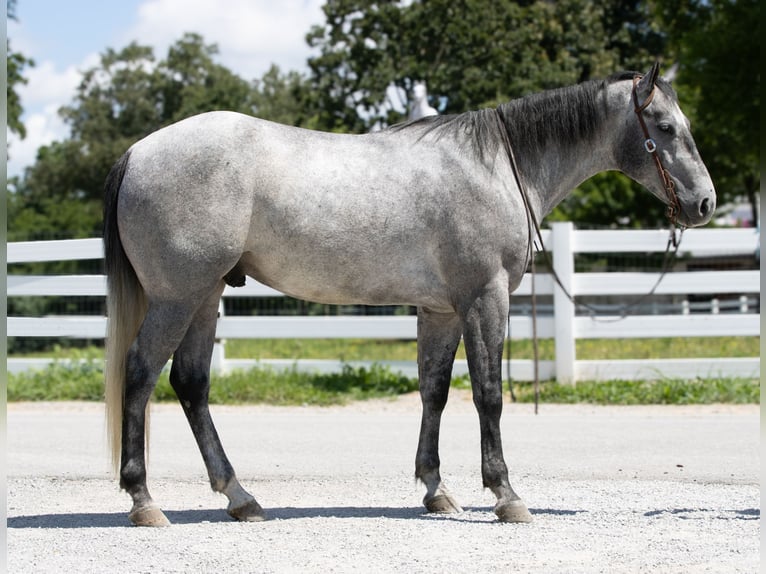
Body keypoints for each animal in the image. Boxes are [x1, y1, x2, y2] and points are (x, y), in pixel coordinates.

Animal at [103, 63, 715, 526]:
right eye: (664, 126)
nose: (705, 203)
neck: (495, 166)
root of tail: (138, 152)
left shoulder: (440, 311)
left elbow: (434, 392)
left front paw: (436, 489)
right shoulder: (485, 299)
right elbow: (489, 394)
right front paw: (506, 494)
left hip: (205, 298)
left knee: (191, 385)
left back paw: (240, 497)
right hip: (178, 299)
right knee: (140, 374)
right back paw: (144, 501)